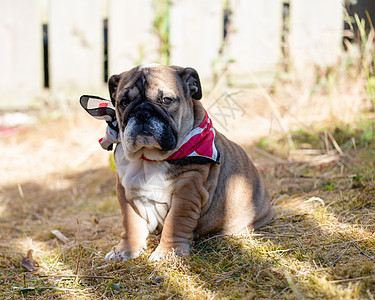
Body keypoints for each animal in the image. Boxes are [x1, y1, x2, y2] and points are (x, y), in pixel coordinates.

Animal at [81, 63, 274, 260]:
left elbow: (175, 223)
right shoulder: (125, 192)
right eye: (124, 102)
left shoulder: (187, 192)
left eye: (166, 100)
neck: (148, 158)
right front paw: (125, 251)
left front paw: (167, 253)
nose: (142, 112)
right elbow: (130, 224)